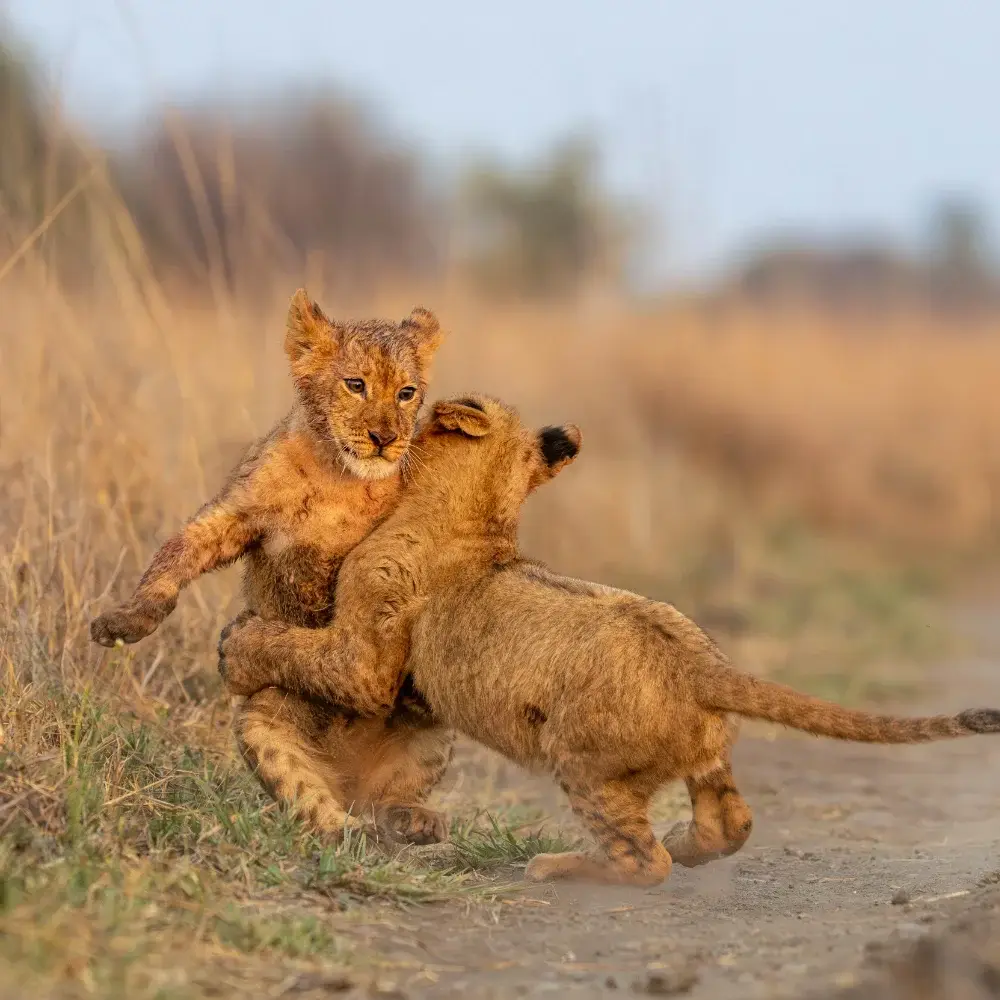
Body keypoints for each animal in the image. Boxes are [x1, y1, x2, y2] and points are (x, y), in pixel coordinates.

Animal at [90, 289, 456, 844]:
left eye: (407, 393)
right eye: (355, 385)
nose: (384, 438)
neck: (339, 477)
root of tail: (348, 778)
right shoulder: (237, 512)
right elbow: (177, 552)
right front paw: (127, 619)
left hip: (435, 733)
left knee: (390, 795)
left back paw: (413, 820)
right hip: (262, 720)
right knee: (313, 802)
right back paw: (346, 830)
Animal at [217, 394, 1000, 884]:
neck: (475, 517)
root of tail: (701, 666)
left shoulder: (367, 662)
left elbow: (296, 647)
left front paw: (235, 645)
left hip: (586, 764)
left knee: (643, 862)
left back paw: (565, 867)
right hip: (703, 752)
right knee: (731, 821)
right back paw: (687, 843)